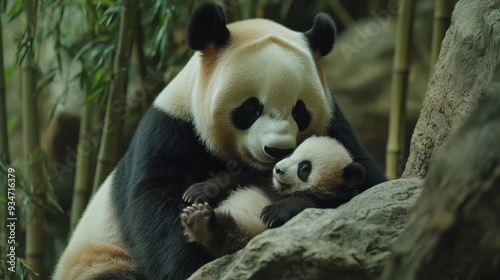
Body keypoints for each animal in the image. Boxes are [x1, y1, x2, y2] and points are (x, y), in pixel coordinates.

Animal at [180, 136, 364, 258]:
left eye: (304, 168)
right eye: (291, 153)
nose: (278, 169)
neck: (280, 190)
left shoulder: (330, 201)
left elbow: (305, 204)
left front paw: (272, 212)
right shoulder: (263, 178)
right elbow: (234, 179)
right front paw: (197, 192)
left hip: (247, 233)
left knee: (227, 235)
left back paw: (201, 222)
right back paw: (197, 218)